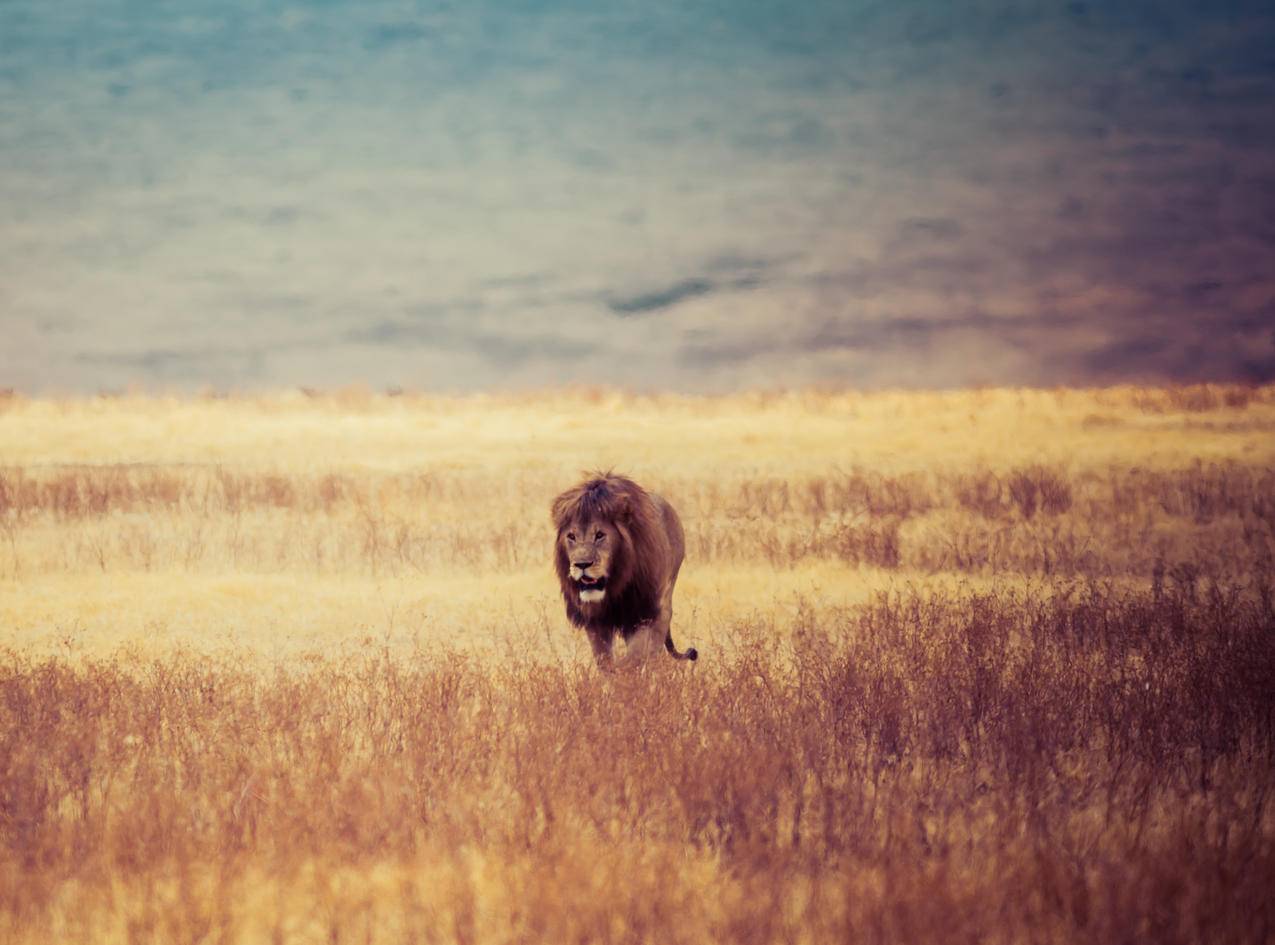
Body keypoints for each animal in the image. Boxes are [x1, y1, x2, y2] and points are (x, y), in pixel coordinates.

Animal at [553, 471, 703, 673]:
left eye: (600, 535)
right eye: (571, 536)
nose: (582, 564)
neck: (616, 583)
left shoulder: (647, 613)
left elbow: (636, 655)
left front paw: (626, 673)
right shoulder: (595, 621)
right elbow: (605, 660)